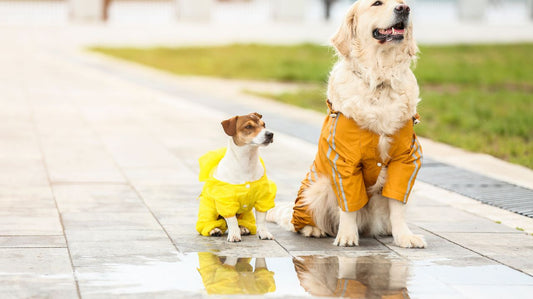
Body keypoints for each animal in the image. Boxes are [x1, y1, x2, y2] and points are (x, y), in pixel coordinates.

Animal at [196, 113, 278, 243]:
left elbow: (261, 219)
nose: (270, 134)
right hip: (209, 210)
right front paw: (234, 235)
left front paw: (264, 233)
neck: (247, 162)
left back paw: (243, 228)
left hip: (246, 214)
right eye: (248, 126)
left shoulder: (263, 197)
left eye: (264, 124)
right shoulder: (226, 201)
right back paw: (214, 230)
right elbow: (232, 220)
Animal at [268, 0, 426, 248]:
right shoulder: (343, 160)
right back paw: (314, 229)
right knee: (302, 222)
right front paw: (347, 236)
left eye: (402, 2)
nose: (404, 9)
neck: (380, 80)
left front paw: (405, 236)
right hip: (318, 187)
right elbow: (349, 204)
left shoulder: (406, 158)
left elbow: (398, 204)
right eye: (377, 3)